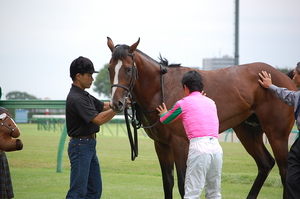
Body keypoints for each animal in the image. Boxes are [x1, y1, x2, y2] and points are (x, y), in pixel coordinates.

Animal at [106, 37, 296, 199]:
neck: (162, 89)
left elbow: (183, 185)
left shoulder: (179, 143)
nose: (116, 103)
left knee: (285, 171)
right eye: (109, 68)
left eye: (128, 69)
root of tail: (286, 79)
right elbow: (168, 183)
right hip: (248, 132)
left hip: (276, 134)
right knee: (265, 164)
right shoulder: (161, 145)